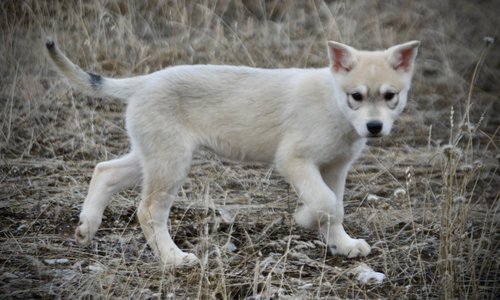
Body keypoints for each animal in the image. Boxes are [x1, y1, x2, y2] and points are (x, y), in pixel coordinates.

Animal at [47, 38, 420, 268]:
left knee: (105, 170)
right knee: (149, 210)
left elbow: (335, 208)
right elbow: (325, 203)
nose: (374, 127)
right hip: (170, 163)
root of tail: (145, 80)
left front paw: (343, 245)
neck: (334, 104)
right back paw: (173, 258)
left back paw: (86, 228)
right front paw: (304, 218)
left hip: (151, 156)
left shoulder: (336, 167)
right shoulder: (294, 160)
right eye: (356, 96)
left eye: (391, 96)